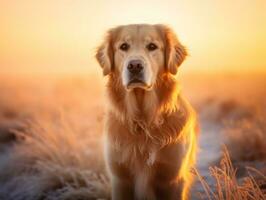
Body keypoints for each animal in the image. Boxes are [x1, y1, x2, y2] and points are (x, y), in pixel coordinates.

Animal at [95, 24, 197, 199]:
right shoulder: (120, 178)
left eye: (152, 46)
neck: (143, 120)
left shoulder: (173, 179)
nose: (135, 65)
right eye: (124, 46)